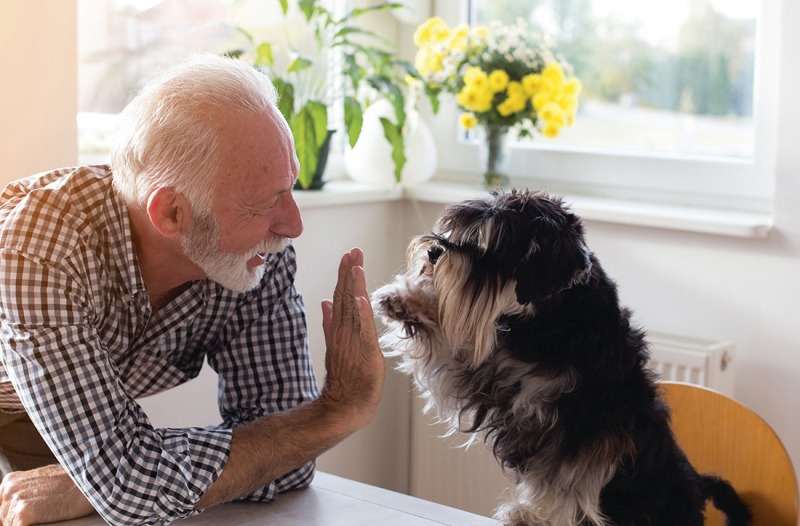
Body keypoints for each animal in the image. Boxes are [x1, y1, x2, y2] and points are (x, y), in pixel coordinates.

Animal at [374, 191, 752, 526]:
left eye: (490, 246)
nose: (433, 250)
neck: (551, 320)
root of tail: (697, 487)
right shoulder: (489, 374)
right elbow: (452, 346)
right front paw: (405, 299)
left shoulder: (585, 429)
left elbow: (564, 481)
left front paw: (533, 517)